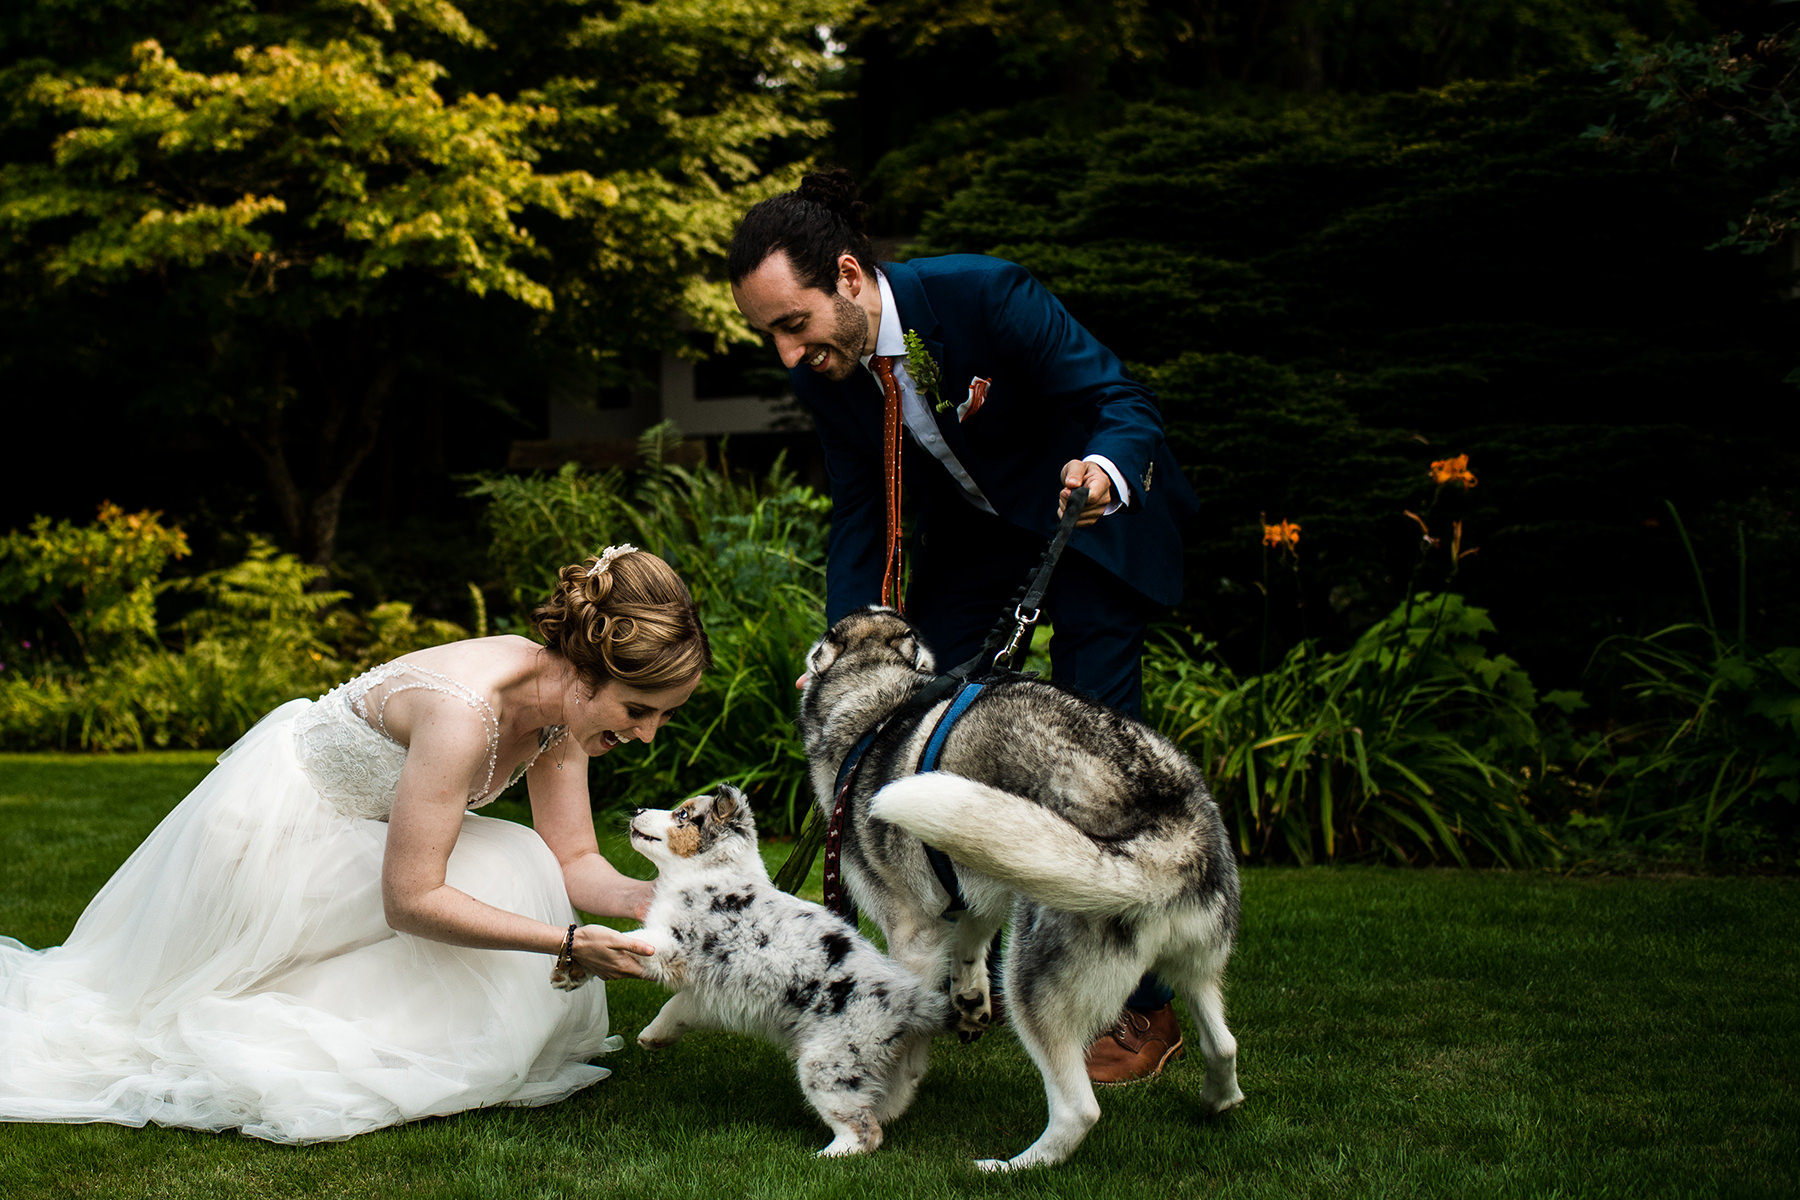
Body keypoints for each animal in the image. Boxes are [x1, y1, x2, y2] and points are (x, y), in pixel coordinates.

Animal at [626, 784, 950, 1158]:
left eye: (682, 815)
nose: (637, 810)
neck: (708, 872)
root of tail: (909, 1000)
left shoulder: (674, 945)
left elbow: (628, 939)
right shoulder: (709, 992)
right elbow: (676, 1006)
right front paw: (653, 1035)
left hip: (827, 1063)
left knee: (865, 1132)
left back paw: (824, 1157)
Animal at [795, 611, 1245, 1173]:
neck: (879, 700)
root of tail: (1169, 831)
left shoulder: (912, 933)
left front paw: (889, 1100)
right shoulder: (978, 881)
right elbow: (969, 942)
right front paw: (968, 1000)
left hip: (1030, 980)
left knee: (1079, 1110)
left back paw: (1009, 1168)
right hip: (1194, 963)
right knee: (1223, 1044)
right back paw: (1217, 1100)